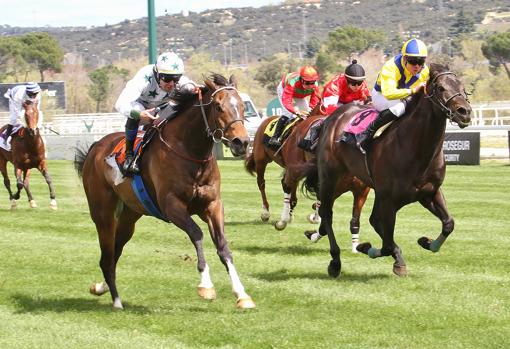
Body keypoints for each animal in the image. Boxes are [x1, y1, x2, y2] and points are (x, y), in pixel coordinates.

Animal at [72, 75, 255, 308]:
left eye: (241, 106)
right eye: (218, 106)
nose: (242, 142)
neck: (190, 153)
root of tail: (95, 147)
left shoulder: (213, 205)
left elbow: (223, 246)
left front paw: (242, 294)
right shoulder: (172, 206)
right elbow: (197, 233)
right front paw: (206, 285)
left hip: (130, 217)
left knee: (114, 253)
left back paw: (101, 287)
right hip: (103, 214)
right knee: (106, 256)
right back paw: (116, 301)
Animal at [245, 104, 368, 251]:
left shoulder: (361, 191)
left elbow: (353, 220)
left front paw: (355, 246)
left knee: (288, 186)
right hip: (263, 160)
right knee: (265, 183)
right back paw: (272, 215)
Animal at [304, 61, 472, 274]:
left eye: (462, 87)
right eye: (441, 87)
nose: (464, 112)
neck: (416, 147)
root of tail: (331, 118)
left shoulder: (428, 192)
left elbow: (448, 223)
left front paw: (427, 242)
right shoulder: (389, 199)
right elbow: (387, 241)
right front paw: (375, 251)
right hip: (330, 177)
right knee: (327, 213)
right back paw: (335, 261)